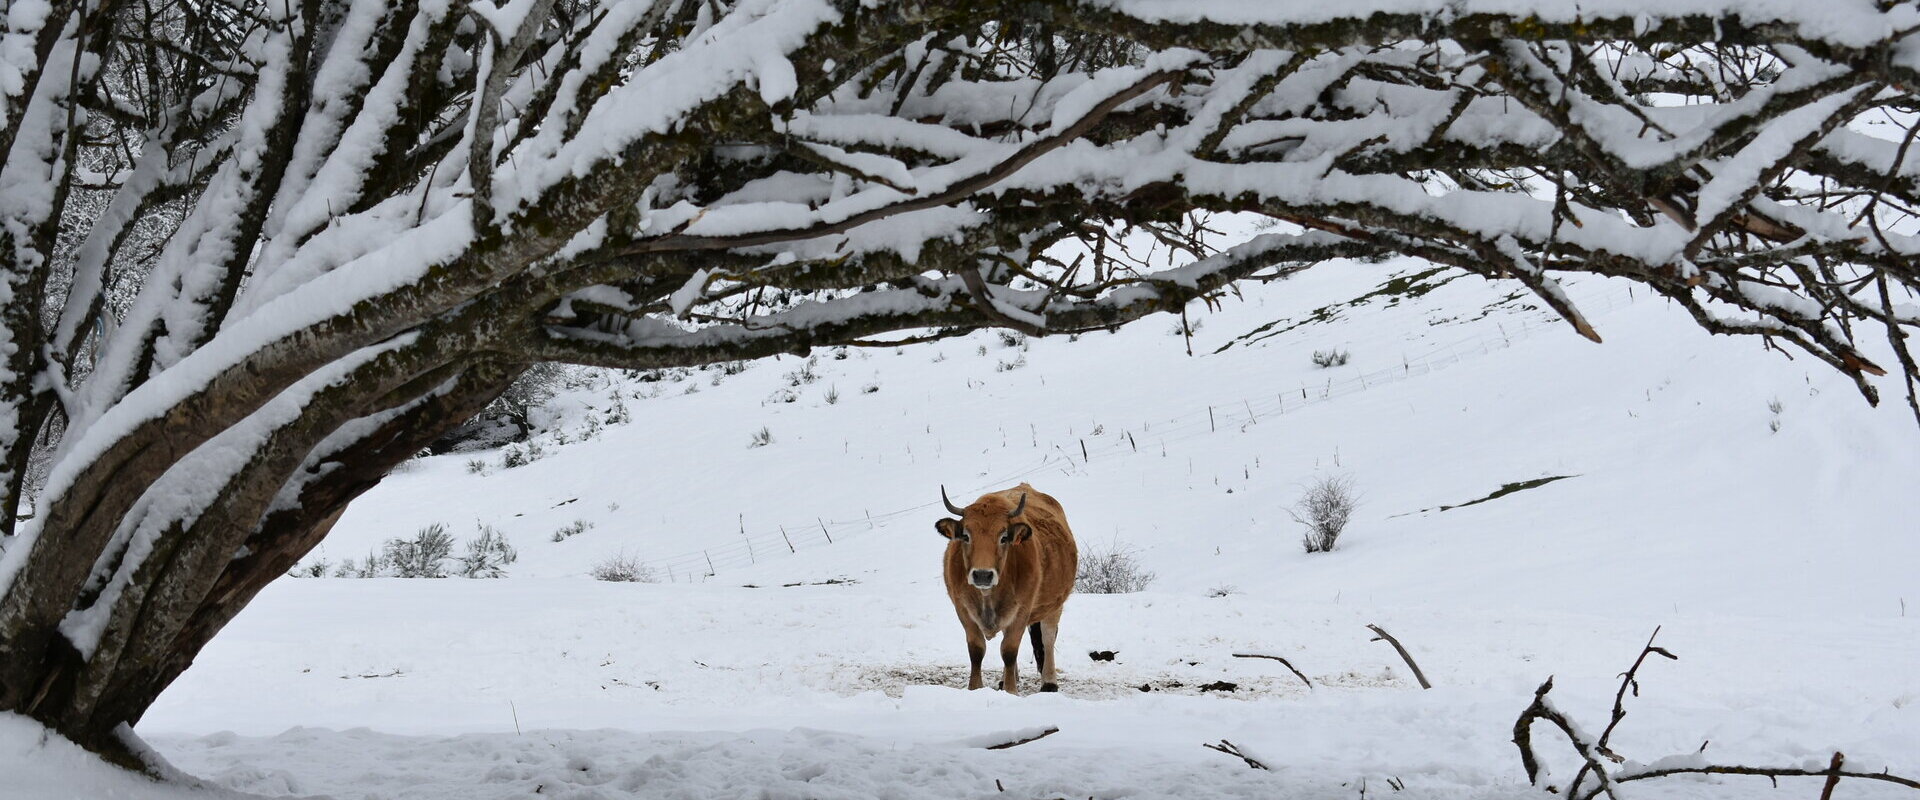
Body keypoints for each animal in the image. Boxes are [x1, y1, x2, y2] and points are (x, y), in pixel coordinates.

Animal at [940, 479, 1082, 690]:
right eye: (966, 535)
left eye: (1004, 537)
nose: (983, 575)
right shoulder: (963, 609)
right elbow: (976, 650)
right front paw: (975, 688)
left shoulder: (1022, 610)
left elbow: (1009, 650)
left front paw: (1011, 690)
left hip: (1055, 604)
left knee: (1048, 638)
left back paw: (1049, 682)